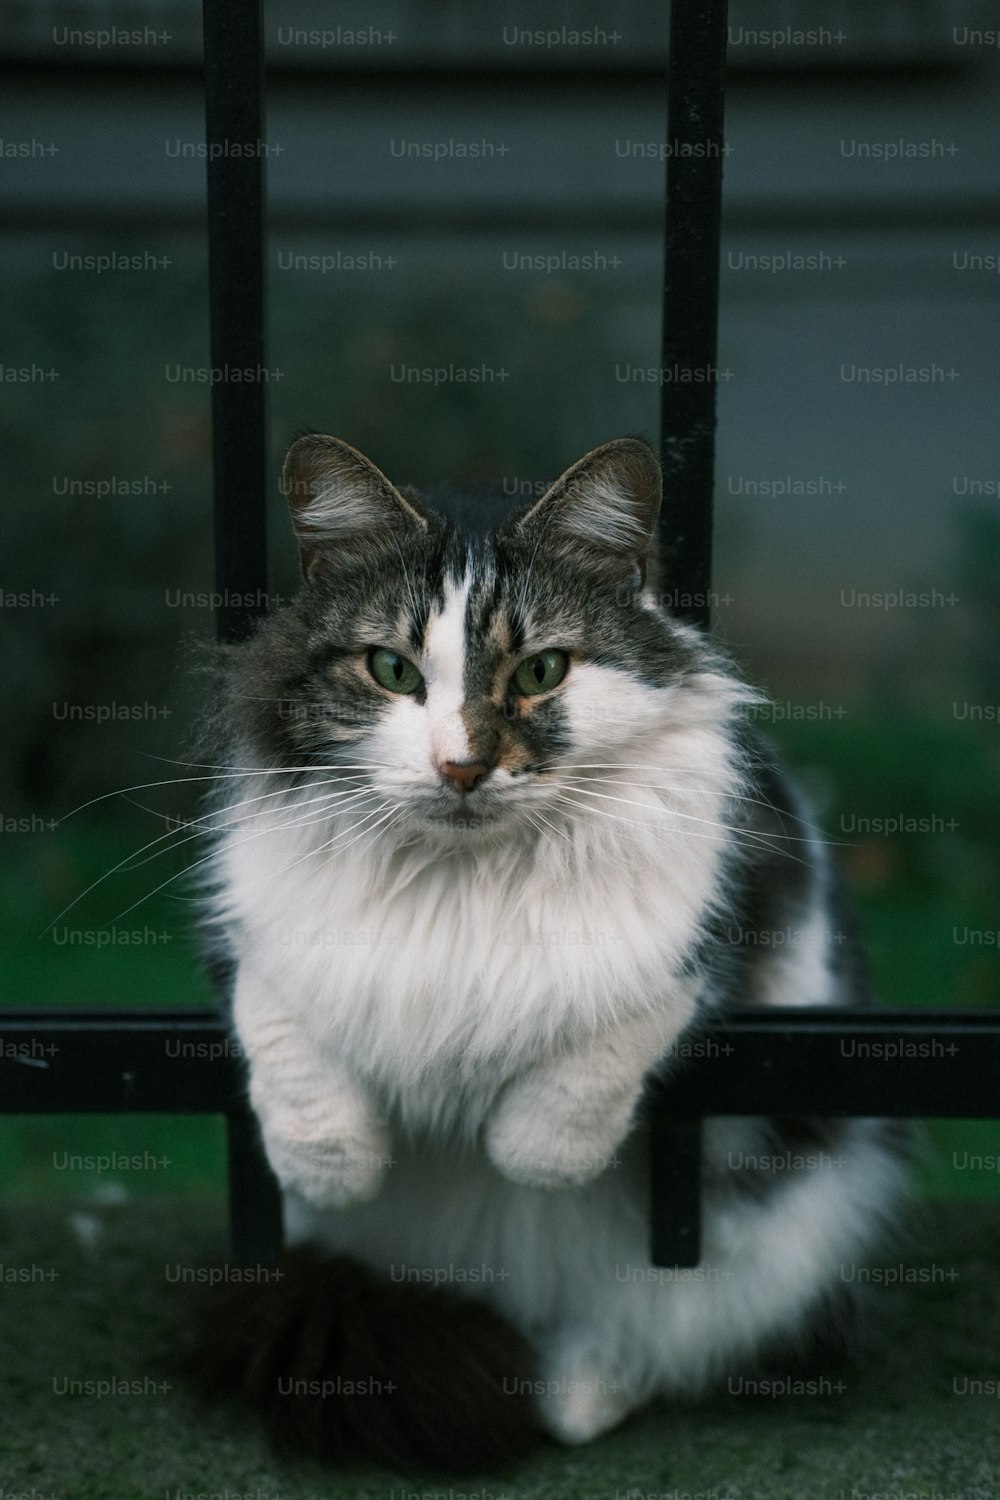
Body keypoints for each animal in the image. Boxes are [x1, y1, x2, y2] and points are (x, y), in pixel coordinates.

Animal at [191, 432, 911, 1464]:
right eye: (391, 669)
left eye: (541, 673)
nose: (462, 767)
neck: (465, 881)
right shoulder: (251, 919)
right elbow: (278, 1018)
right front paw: (328, 1163)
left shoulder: (720, 915)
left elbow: (608, 1042)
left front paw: (532, 1153)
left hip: (780, 1239)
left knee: (645, 1349)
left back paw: (561, 1390)